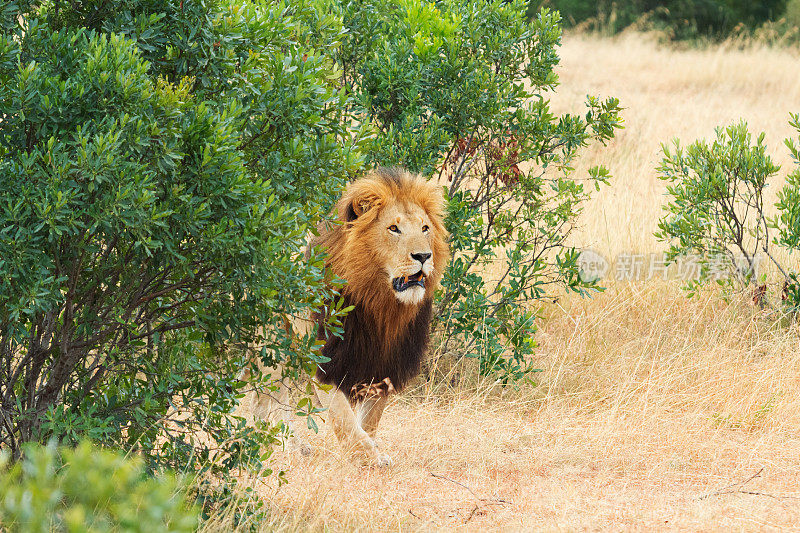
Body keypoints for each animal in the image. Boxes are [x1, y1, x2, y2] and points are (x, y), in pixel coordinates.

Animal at [248, 166, 450, 466]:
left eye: (425, 228)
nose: (424, 256)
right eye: (393, 228)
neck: (379, 305)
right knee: (264, 399)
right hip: (274, 343)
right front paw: (365, 457)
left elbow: (369, 419)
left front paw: (373, 452)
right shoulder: (326, 358)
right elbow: (343, 417)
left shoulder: (384, 363)